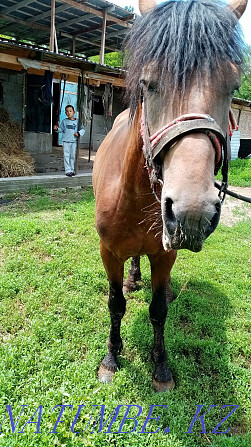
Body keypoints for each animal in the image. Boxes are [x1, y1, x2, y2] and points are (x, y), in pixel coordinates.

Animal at [92, 0, 247, 392]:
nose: (192, 215)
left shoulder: (166, 254)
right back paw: (133, 279)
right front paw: (111, 359)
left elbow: (159, 310)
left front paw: (161, 366)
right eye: (148, 83)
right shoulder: (108, 252)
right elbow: (115, 304)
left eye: (233, 86)